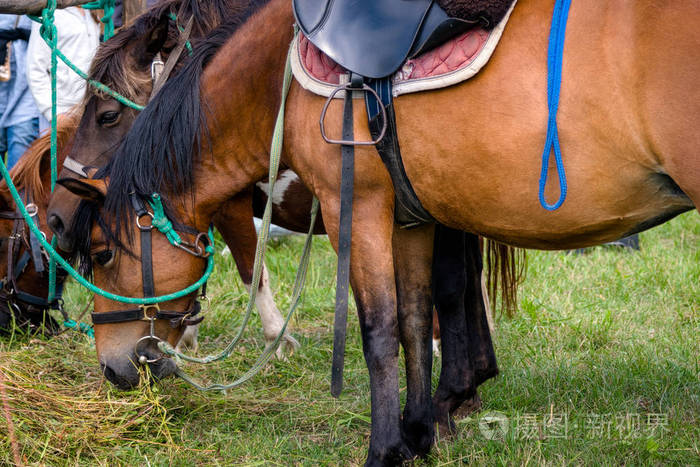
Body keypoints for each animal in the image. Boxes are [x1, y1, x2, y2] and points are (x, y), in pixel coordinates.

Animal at [49, 0, 699, 463]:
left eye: (102, 254)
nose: (112, 368)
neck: (280, 78)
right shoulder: (410, 219)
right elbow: (416, 316)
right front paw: (420, 432)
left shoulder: (351, 210)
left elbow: (379, 330)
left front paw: (387, 448)